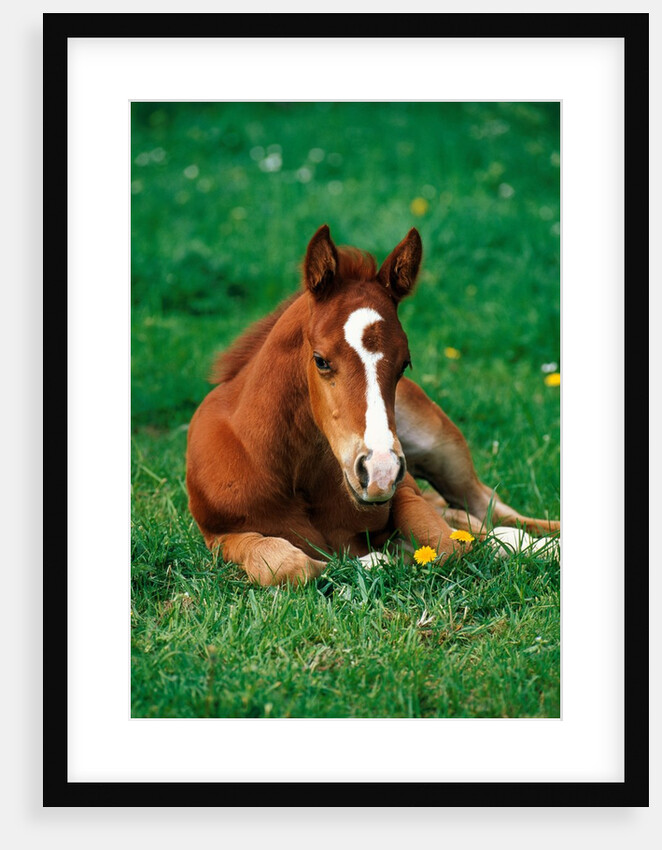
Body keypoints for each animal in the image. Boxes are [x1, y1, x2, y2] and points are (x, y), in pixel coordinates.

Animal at [186, 225, 560, 586]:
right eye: (321, 360)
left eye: (405, 363)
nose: (380, 472)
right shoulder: (220, 536)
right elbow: (289, 565)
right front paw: (377, 557)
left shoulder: (405, 490)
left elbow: (445, 544)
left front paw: (390, 553)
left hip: (442, 451)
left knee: (492, 511)